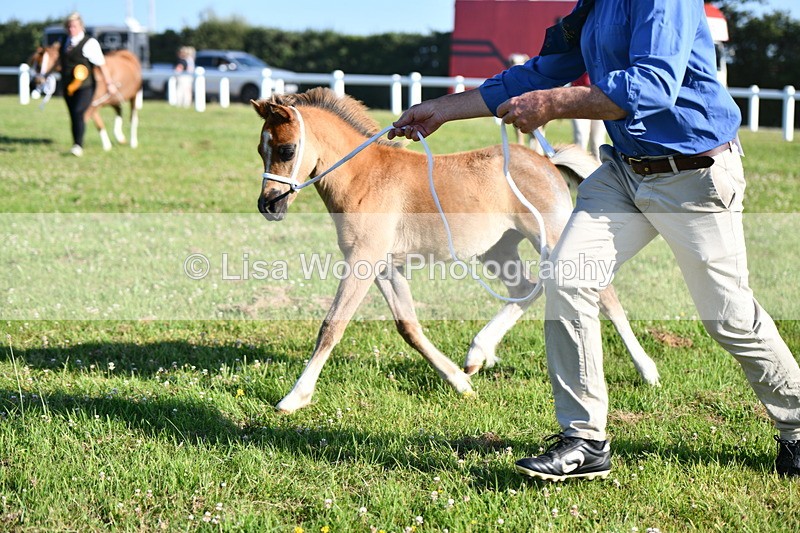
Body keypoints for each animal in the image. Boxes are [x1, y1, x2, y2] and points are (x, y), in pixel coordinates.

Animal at [251, 87, 660, 414]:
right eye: (260, 149)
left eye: (287, 149)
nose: (267, 205)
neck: (365, 177)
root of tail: (546, 161)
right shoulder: (383, 266)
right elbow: (408, 326)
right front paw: (459, 382)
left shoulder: (361, 261)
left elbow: (331, 326)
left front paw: (294, 397)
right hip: (497, 250)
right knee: (528, 287)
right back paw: (478, 354)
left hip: (551, 235)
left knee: (603, 295)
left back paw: (647, 370)